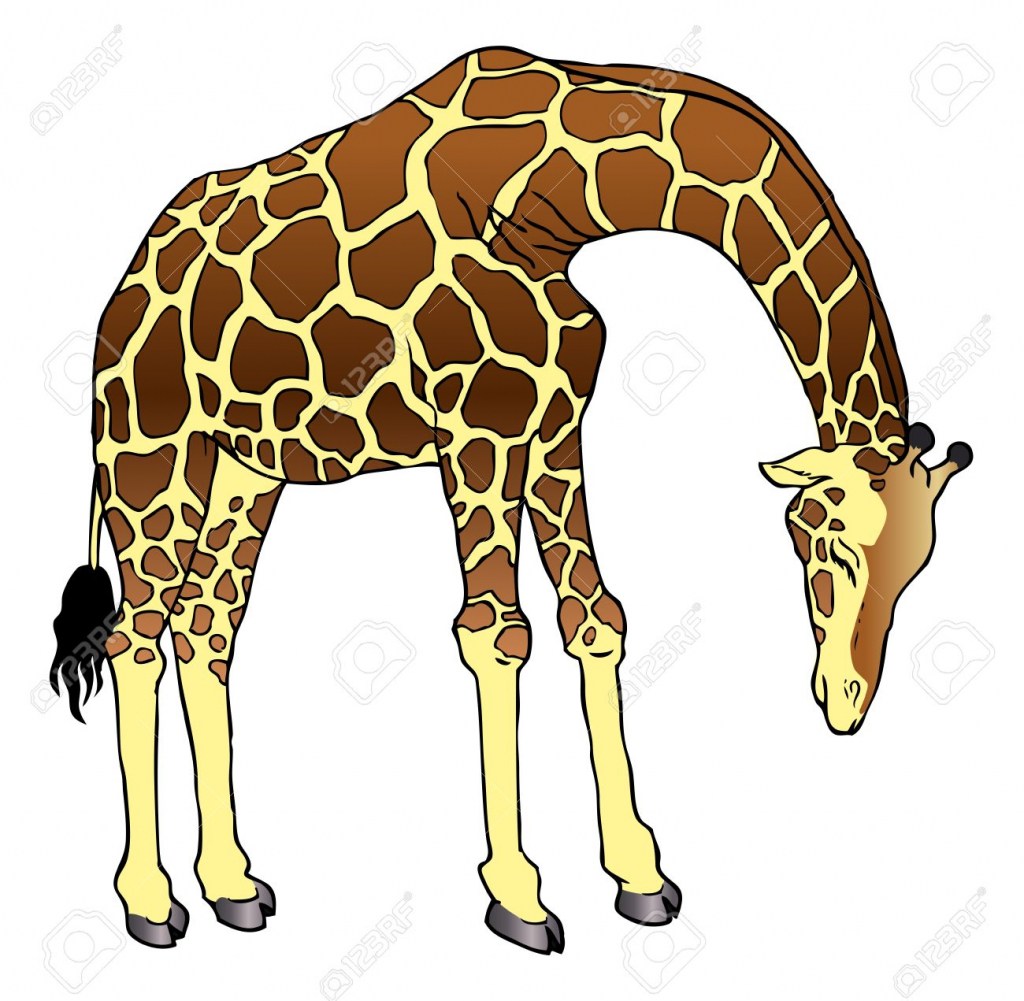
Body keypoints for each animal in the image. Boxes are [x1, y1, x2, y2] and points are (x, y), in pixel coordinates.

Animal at [49, 47, 973, 954]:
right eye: (831, 541)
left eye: (918, 570)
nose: (847, 699)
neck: (553, 204)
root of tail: (121, 290)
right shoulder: (477, 430)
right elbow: (495, 632)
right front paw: (520, 897)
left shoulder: (555, 426)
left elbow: (596, 618)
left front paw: (640, 876)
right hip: (150, 452)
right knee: (136, 636)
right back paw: (149, 901)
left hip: (248, 468)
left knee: (206, 628)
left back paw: (232, 886)